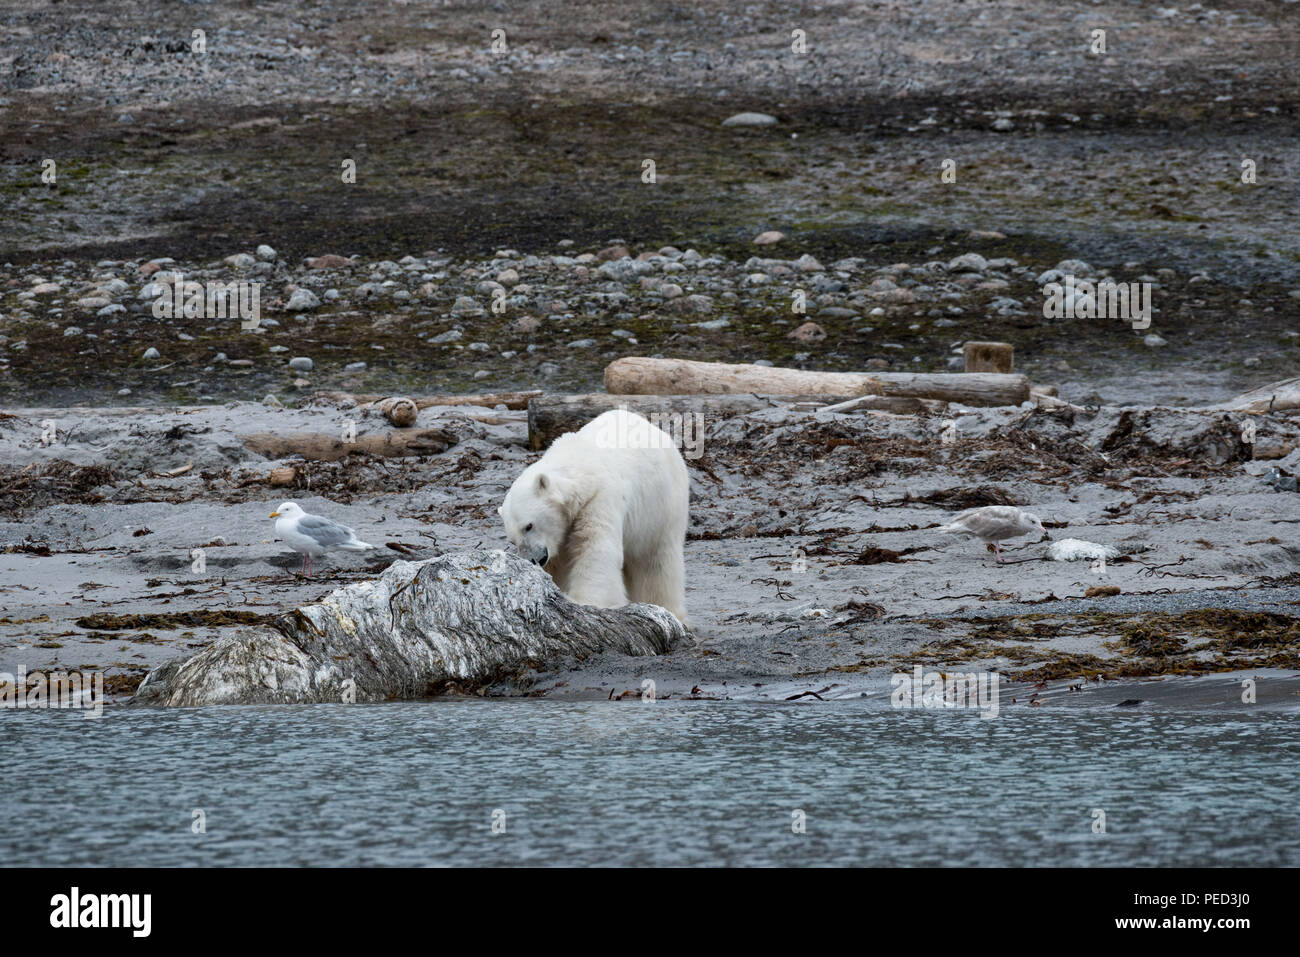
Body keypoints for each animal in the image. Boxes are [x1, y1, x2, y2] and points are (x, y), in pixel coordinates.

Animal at [496, 405, 691, 624]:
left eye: (529, 526)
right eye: (512, 540)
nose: (533, 560)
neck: (579, 470)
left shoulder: (599, 499)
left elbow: (594, 549)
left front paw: (583, 602)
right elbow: (558, 561)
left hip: (662, 505)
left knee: (656, 561)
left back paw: (670, 610)